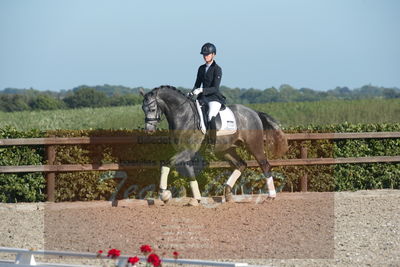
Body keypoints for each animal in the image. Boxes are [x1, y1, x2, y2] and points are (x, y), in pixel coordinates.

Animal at [141, 85, 288, 206]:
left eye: (152, 108)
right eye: (143, 108)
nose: (149, 130)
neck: (183, 116)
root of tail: (254, 112)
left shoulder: (187, 151)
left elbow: (166, 163)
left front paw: (164, 194)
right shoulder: (185, 154)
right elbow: (190, 174)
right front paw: (196, 199)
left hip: (253, 145)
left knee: (265, 165)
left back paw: (270, 197)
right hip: (226, 150)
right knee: (241, 165)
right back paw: (228, 195)